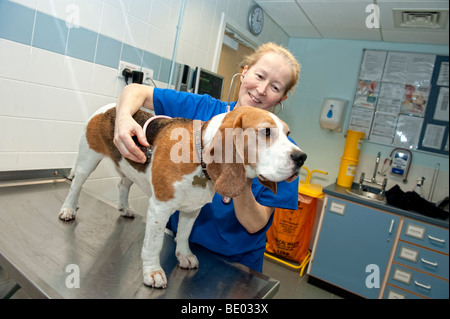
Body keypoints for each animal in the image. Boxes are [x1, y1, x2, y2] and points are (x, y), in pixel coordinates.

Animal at [59, 104, 306, 288]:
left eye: (288, 134)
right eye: (266, 132)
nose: (301, 157)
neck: (200, 154)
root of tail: (110, 107)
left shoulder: (193, 209)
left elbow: (185, 235)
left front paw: (184, 255)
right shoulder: (159, 208)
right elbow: (154, 243)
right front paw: (152, 272)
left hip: (130, 165)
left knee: (123, 184)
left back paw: (124, 207)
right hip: (88, 159)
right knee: (76, 185)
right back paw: (68, 209)